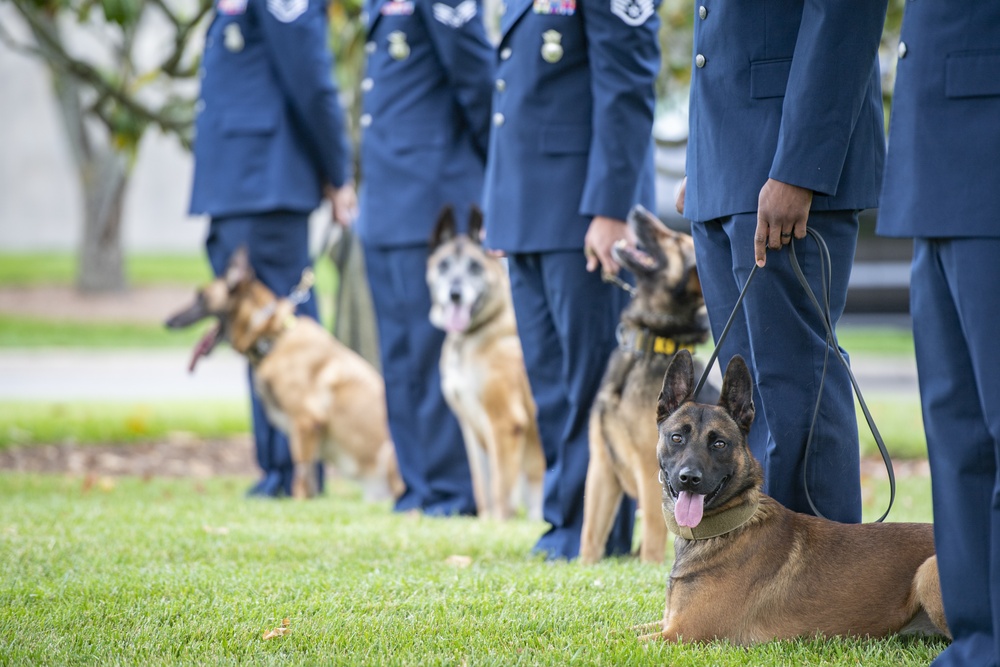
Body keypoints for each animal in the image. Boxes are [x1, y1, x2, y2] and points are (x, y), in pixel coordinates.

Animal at [164, 247, 402, 500]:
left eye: (201, 296)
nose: (167, 321)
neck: (273, 338)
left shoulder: (306, 422)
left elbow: (301, 476)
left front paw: (298, 502)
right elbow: (309, 480)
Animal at [426, 205, 544, 520]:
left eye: (474, 267)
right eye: (444, 265)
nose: (455, 294)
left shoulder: (504, 423)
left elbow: (501, 489)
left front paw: (499, 524)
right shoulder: (471, 429)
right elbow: (484, 488)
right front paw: (485, 523)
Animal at [584, 206, 716, 568]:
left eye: (674, 240)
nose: (637, 210)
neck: (650, 344)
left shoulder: (650, 469)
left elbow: (654, 541)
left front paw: (647, 569)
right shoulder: (601, 467)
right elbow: (590, 536)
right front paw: (581, 569)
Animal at [636, 352, 948, 644]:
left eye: (720, 444)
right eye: (677, 438)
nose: (689, 478)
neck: (728, 526)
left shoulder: (682, 633)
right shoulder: (665, 623)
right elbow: (624, 629)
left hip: (928, 573)